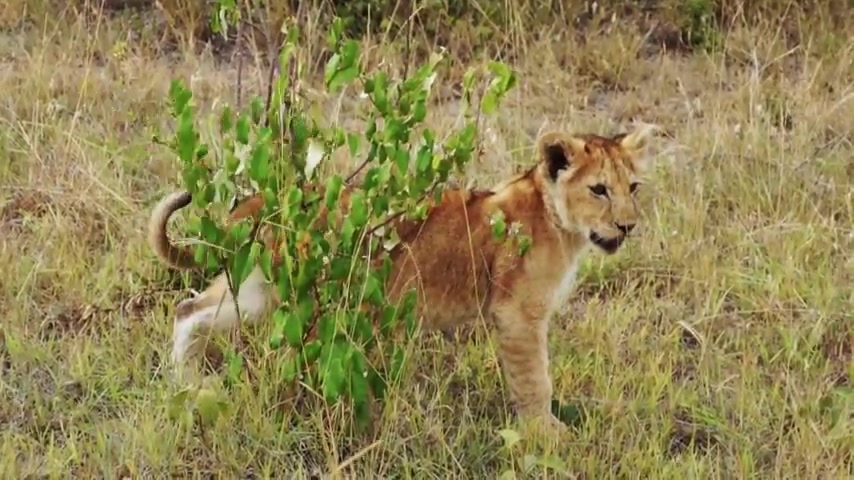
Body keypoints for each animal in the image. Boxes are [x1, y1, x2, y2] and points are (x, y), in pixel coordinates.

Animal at [148, 125, 659, 429]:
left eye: (633, 187)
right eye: (598, 190)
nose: (628, 226)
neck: (560, 224)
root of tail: (262, 201)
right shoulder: (517, 314)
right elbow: (535, 379)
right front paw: (546, 435)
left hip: (256, 290)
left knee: (187, 309)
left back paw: (190, 387)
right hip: (290, 297)